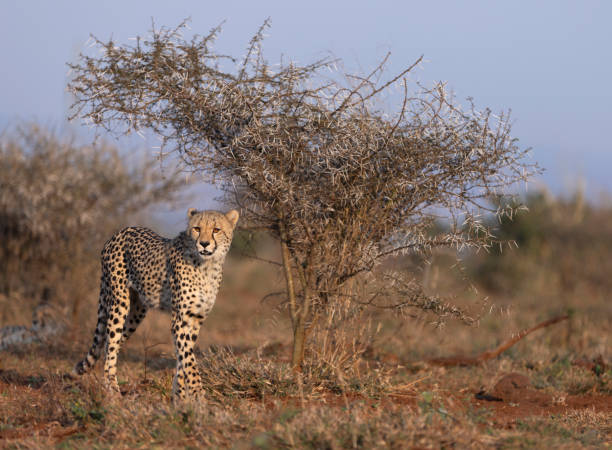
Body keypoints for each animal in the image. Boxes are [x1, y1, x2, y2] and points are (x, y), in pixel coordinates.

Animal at [74, 208, 239, 400]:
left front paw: (180, 395)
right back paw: (113, 391)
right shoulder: (181, 319)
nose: (204, 244)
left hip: (137, 311)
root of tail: (120, 232)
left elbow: (184, 356)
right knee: (111, 344)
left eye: (216, 230)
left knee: (111, 342)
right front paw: (197, 393)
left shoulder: (196, 317)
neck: (207, 265)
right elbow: (188, 359)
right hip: (119, 303)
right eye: (197, 228)